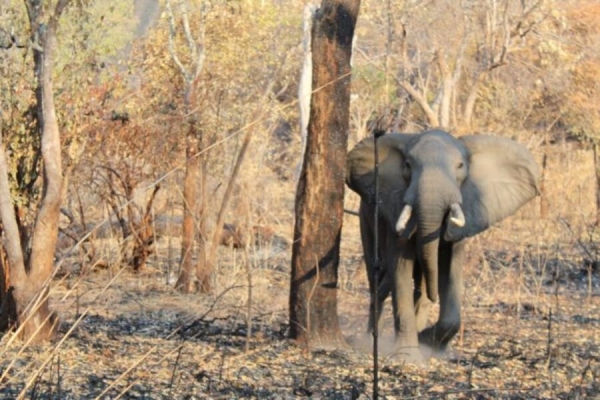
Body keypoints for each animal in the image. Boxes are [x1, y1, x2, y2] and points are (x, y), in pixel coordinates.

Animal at [344, 130, 540, 360]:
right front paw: (409, 356)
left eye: (460, 166)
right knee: (378, 279)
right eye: (408, 165)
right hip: (366, 219)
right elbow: (400, 267)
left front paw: (427, 342)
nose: (433, 294)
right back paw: (368, 339)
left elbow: (450, 268)